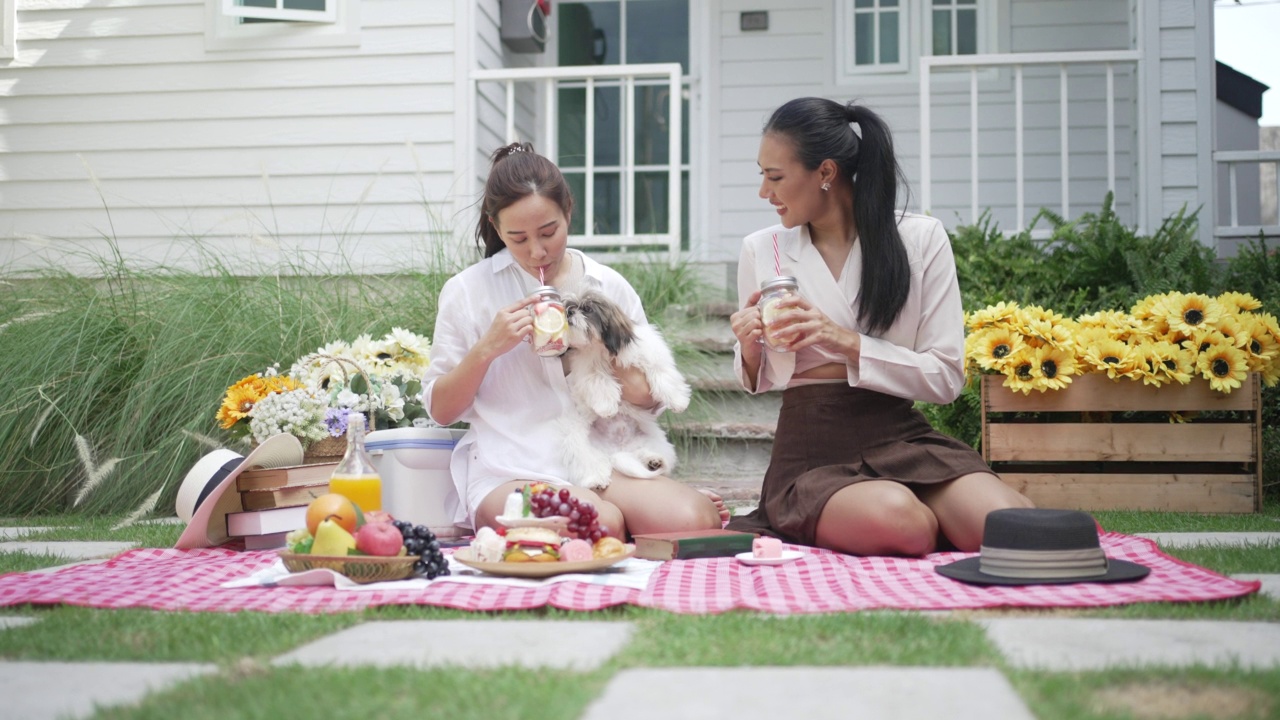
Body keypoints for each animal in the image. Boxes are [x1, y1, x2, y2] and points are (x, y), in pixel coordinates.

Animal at [560, 289, 691, 486]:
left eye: (587, 309)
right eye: (568, 307)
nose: (569, 313)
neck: (602, 346)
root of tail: (617, 449)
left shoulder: (649, 351)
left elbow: (661, 372)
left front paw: (677, 401)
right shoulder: (587, 366)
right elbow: (598, 382)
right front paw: (607, 407)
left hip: (653, 439)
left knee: (645, 453)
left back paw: (654, 461)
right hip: (579, 441)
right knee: (588, 460)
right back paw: (596, 478)